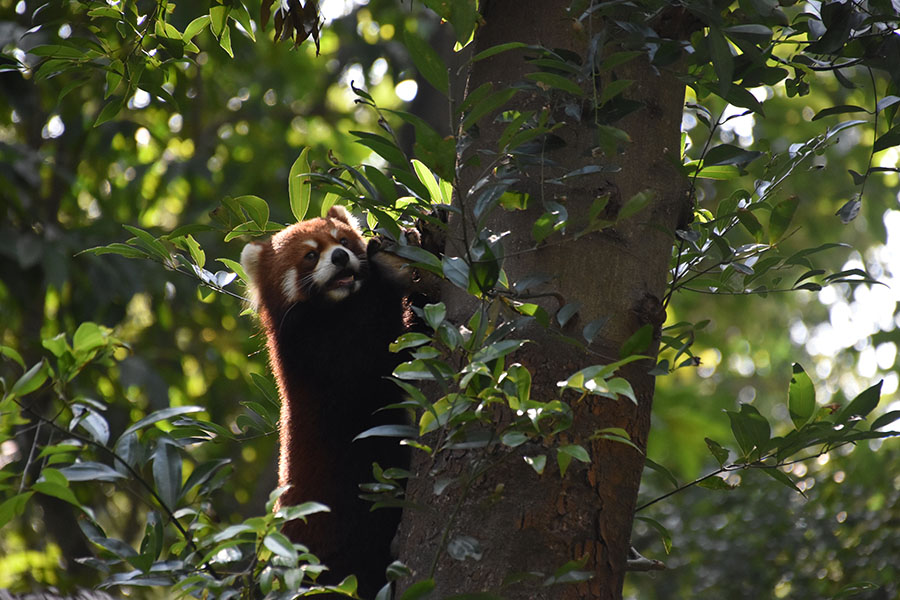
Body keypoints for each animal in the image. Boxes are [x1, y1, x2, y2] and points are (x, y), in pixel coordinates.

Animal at [239, 206, 408, 596]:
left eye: (343, 240)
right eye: (311, 256)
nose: (341, 257)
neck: (336, 310)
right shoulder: (317, 355)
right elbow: (373, 346)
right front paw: (387, 267)